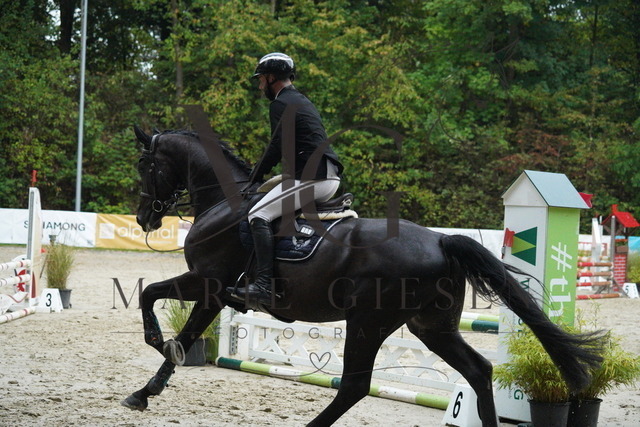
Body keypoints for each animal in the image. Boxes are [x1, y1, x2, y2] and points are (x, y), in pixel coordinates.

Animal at [121, 127, 602, 426]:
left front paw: (150, 375)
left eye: (145, 164)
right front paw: (149, 385)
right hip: (432, 326)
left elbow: (166, 318)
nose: (145, 217)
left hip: (368, 321)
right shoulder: (211, 288)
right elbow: (161, 311)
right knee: (479, 370)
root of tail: (441, 241)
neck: (226, 203)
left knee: (354, 386)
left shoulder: (209, 285)